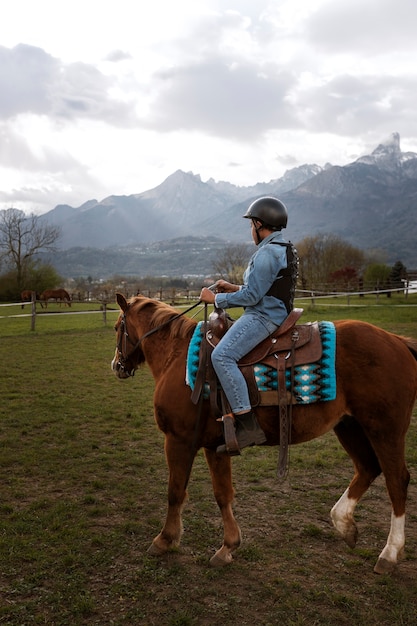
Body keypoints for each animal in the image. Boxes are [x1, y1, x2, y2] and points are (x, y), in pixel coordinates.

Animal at [110, 292, 416, 572]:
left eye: (116, 327)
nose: (116, 365)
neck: (177, 357)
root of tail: (397, 341)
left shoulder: (178, 440)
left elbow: (175, 491)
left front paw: (164, 539)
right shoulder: (215, 446)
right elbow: (223, 494)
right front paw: (228, 546)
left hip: (385, 431)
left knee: (397, 480)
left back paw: (389, 553)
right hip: (350, 426)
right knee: (367, 468)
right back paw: (344, 523)